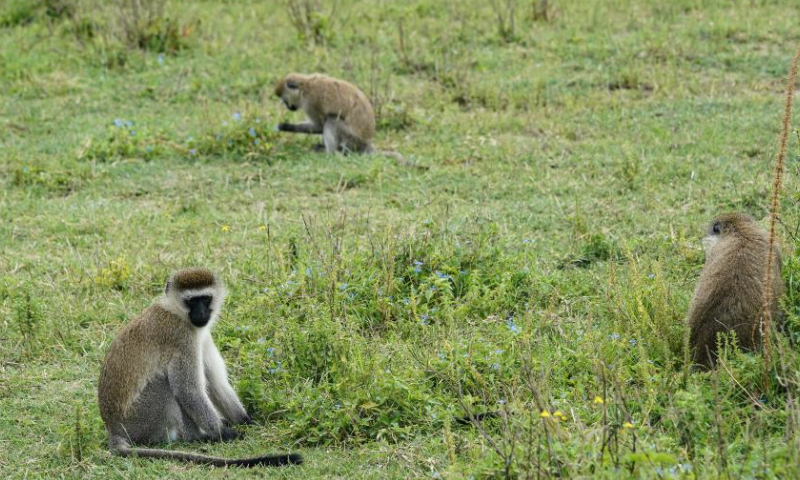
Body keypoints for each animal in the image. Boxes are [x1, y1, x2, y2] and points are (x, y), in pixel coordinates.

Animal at [98, 267, 302, 467]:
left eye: (205, 299)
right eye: (192, 301)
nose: (201, 313)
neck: (176, 312)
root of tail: (113, 429)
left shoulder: (201, 336)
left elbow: (216, 383)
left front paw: (246, 420)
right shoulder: (182, 338)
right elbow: (189, 390)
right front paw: (223, 433)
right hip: (142, 419)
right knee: (166, 385)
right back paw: (197, 437)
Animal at [274, 72, 425, 169]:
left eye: (285, 100)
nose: (289, 107)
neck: (305, 83)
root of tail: (366, 143)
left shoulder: (311, 102)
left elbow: (319, 126)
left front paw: (286, 126)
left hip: (352, 139)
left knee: (331, 120)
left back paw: (330, 153)